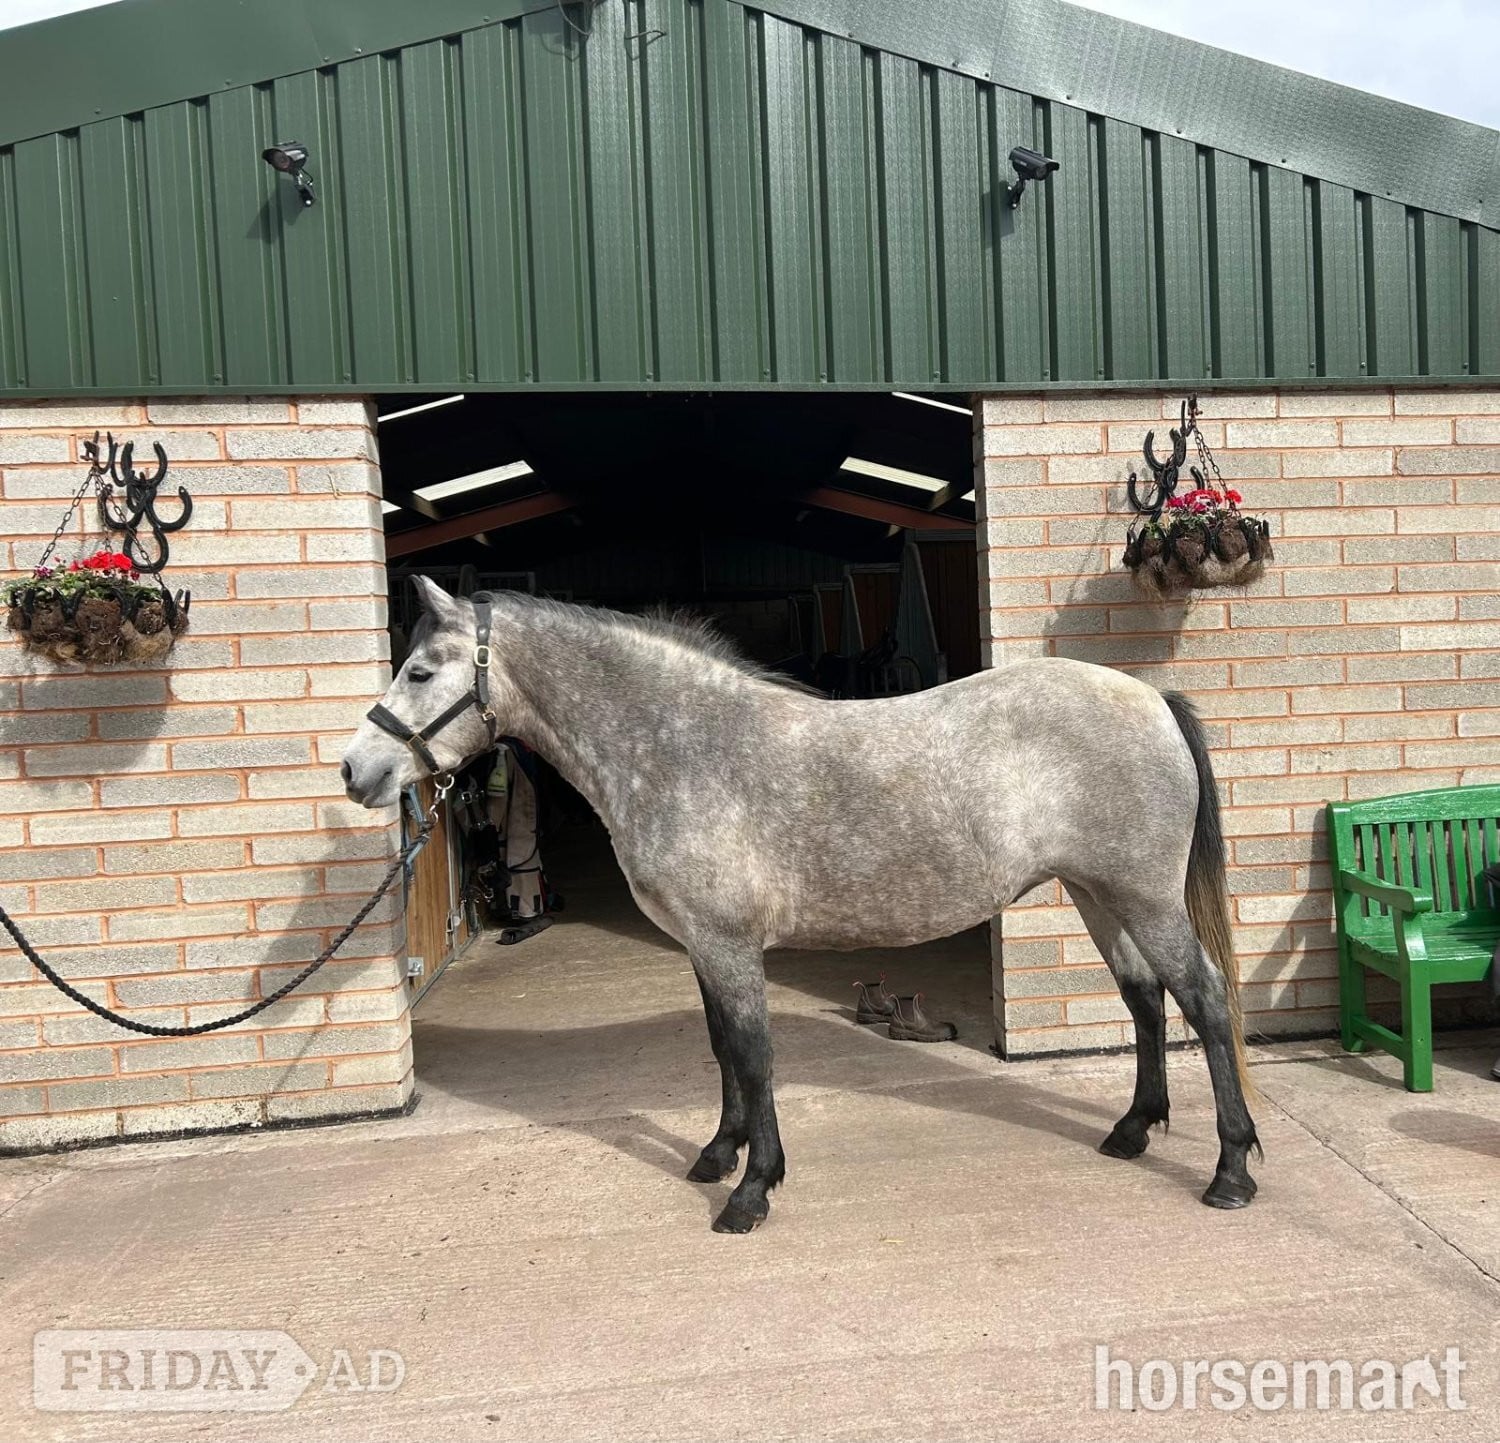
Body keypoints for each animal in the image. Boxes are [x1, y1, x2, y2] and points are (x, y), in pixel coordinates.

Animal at [341, 577, 1259, 1233]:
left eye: (420, 670)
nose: (356, 771)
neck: (683, 747)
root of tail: (1152, 700)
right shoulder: (704, 947)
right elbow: (722, 1050)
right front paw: (718, 1153)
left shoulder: (727, 943)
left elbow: (753, 1055)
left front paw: (752, 1190)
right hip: (1100, 895)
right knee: (1146, 999)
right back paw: (1132, 1131)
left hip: (1143, 898)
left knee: (1205, 1001)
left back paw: (1231, 1172)